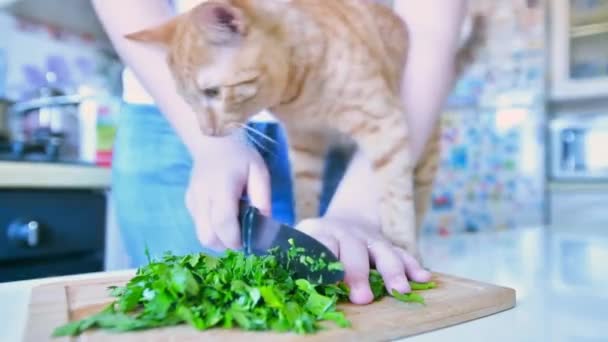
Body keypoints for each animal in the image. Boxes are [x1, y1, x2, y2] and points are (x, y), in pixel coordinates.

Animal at [127, 0, 484, 256]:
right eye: (186, 100)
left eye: (212, 92)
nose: (208, 133)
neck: (300, 90)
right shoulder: (305, 144)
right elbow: (306, 196)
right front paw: (303, 226)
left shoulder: (386, 125)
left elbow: (395, 200)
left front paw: (401, 249)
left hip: (424, 163)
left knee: (417, 203)